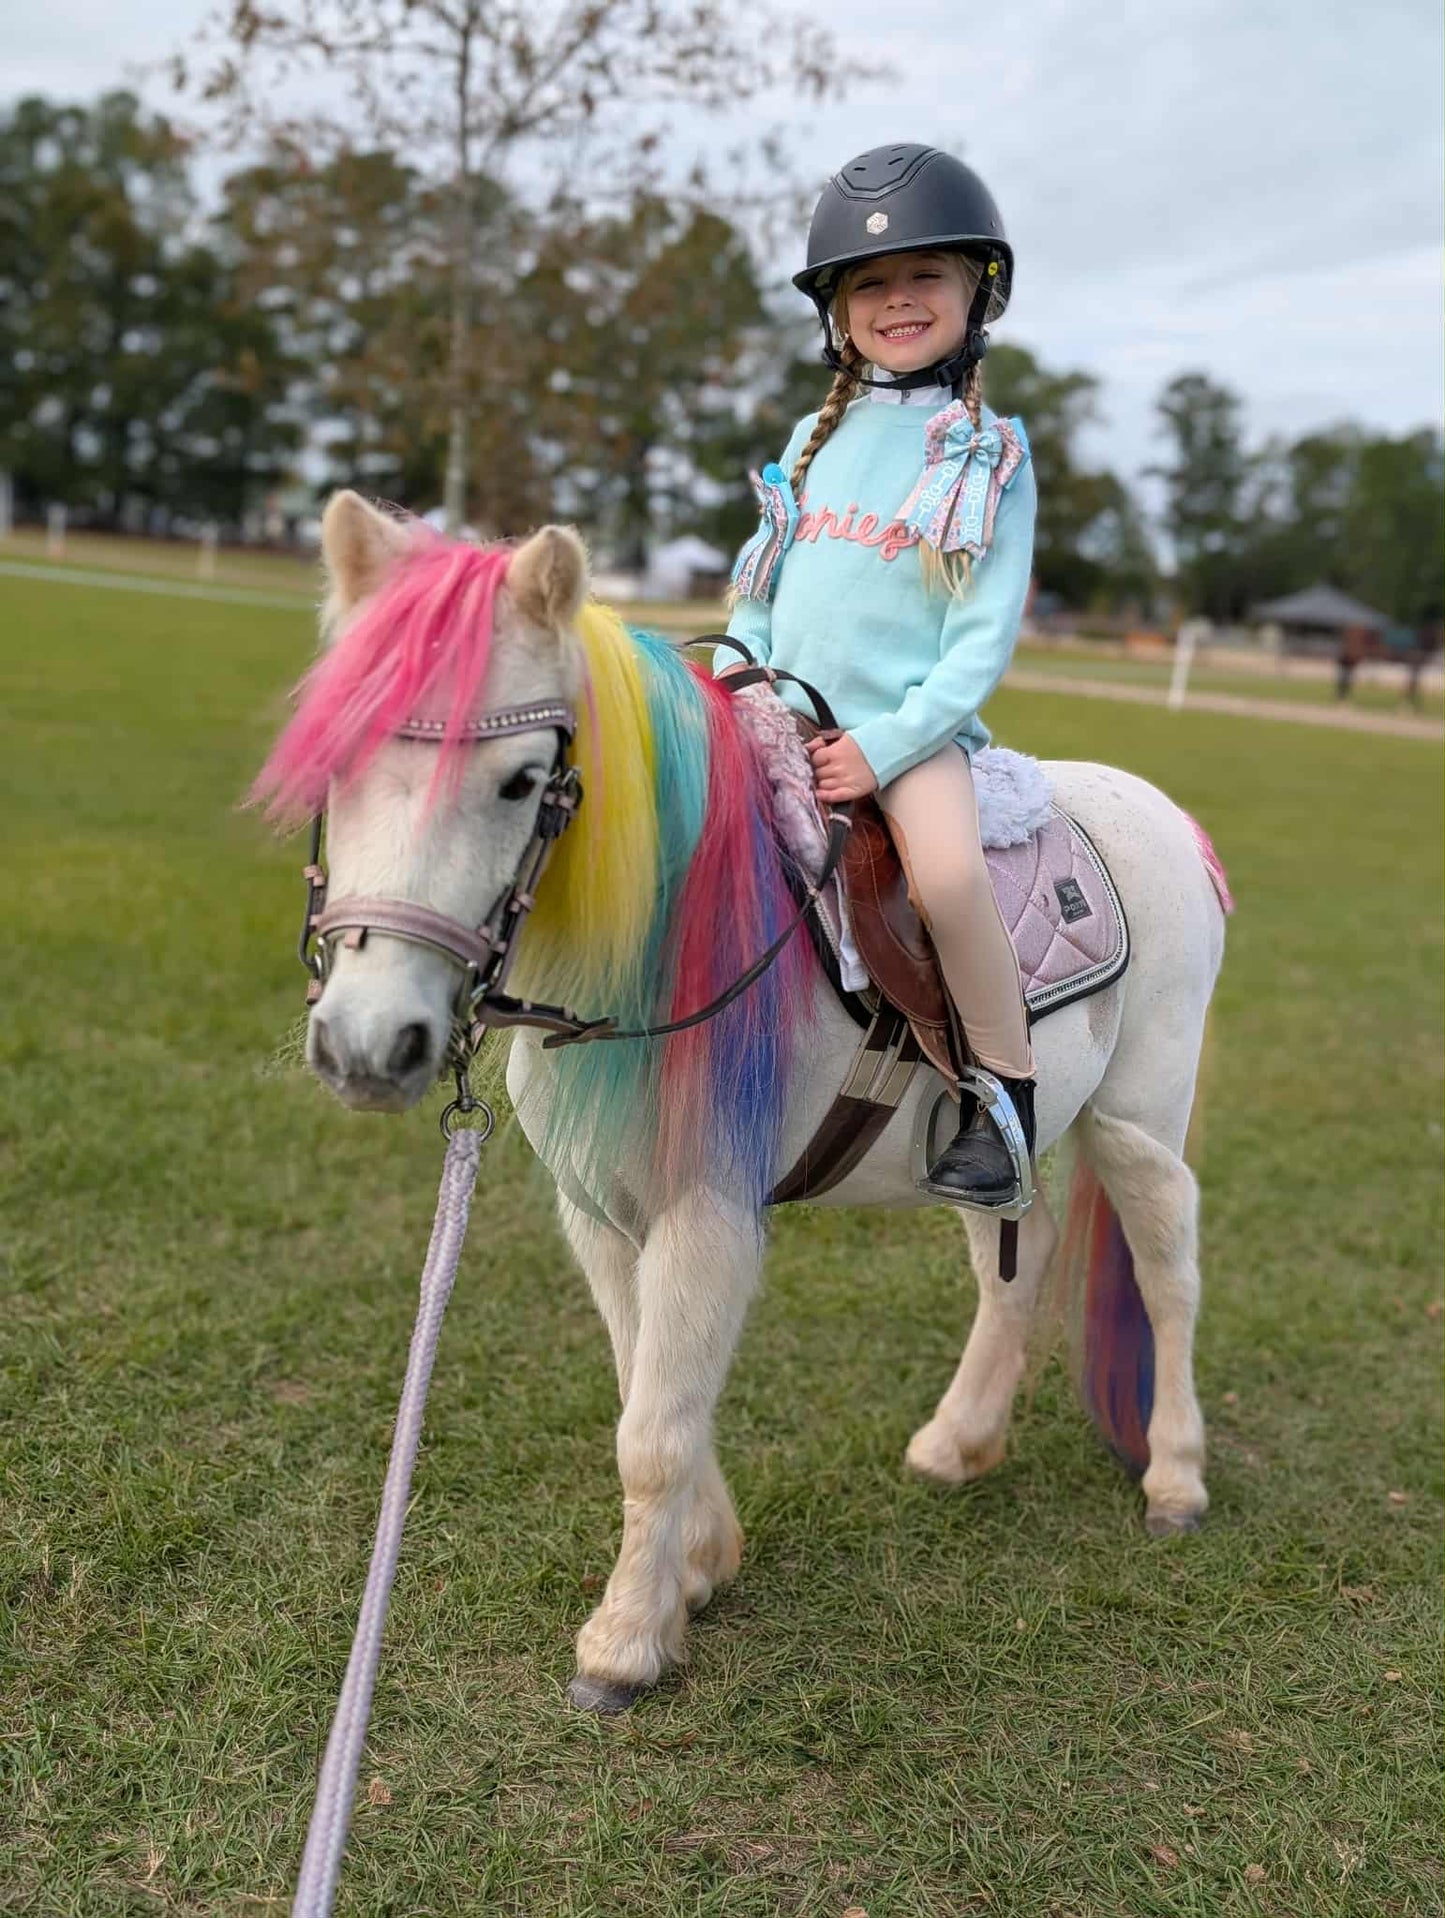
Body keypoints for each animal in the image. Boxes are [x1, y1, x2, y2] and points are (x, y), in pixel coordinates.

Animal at [254, 491, 1229, 1714]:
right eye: (334, 759)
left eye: (521, 780)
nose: (368, 1044)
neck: (655, 948)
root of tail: (1167, 818)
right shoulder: (599, 1210)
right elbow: (647, 1385)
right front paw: (698, 1569)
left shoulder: (708, 1213)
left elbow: (655, 1430)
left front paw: (623, 1644)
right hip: (991, 1145)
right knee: (1022, 1251)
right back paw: (955, 1445)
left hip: (1139, 1121)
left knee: (1168, 1267)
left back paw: (1175, 1480)